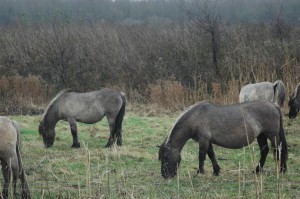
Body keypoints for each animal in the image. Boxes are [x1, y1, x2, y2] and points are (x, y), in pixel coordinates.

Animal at [158, 100, 288, 178]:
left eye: (165, 157)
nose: (165, 175)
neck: (196, 117)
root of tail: (274, 105)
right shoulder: (208, 141)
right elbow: (211, 155)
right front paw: (216, 171)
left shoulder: (203, 140)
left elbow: (202, 156)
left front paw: (200, 172)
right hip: (261, 136)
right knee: (265, 151)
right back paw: (257, 170)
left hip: (272, 135)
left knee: (278, 149)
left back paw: (281, 169)